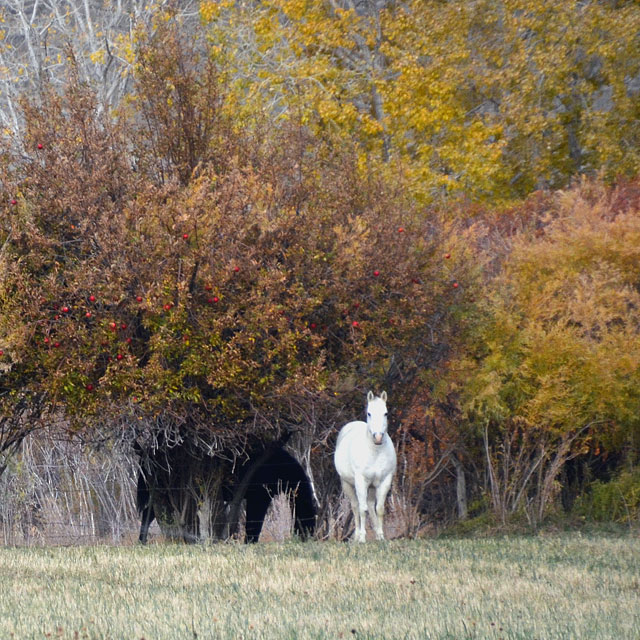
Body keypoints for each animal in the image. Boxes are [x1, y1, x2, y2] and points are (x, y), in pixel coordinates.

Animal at [336, 390, 396, 540]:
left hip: (372, 486)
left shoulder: (384, 481)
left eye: (385, 413)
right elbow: (362, 509)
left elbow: (379, 509)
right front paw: (362, 537)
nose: (378, 437)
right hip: (347, 484)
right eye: (369, 413)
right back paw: (357, 536)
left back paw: (377, 535)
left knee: (370, 505)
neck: (375, 452)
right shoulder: (361, 481)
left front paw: (381, 536)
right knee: (355, 506)